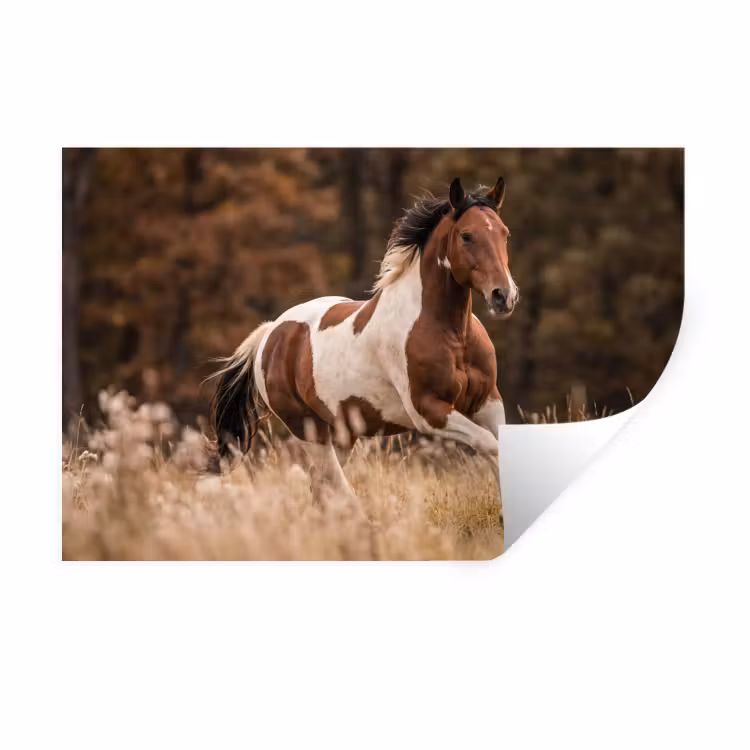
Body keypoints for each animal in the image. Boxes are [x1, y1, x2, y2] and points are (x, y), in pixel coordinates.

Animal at [209, 176, 518, 498]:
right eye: (467, 236)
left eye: (505, 234)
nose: (503, 296)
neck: (453, 335)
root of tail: (271, 332)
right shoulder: (429, 412)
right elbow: (490, 446)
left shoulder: (488, 402)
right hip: (309, 429)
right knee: (334, 485)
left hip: (344, 432)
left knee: (321, 486)